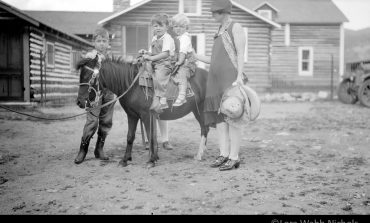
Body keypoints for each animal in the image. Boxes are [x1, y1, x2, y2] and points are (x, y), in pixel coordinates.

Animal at [76, 56, 210, 168]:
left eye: (89, 77)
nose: (79, 102)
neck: (133, 85)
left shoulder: (147, 115)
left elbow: (151, 137)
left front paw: (151, 160)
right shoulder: (132, 115)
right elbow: (130, 137)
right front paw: (125, 160)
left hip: (202, 110)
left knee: (205, 129)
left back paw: (200, 154)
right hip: (196, 110)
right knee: (205, 129)